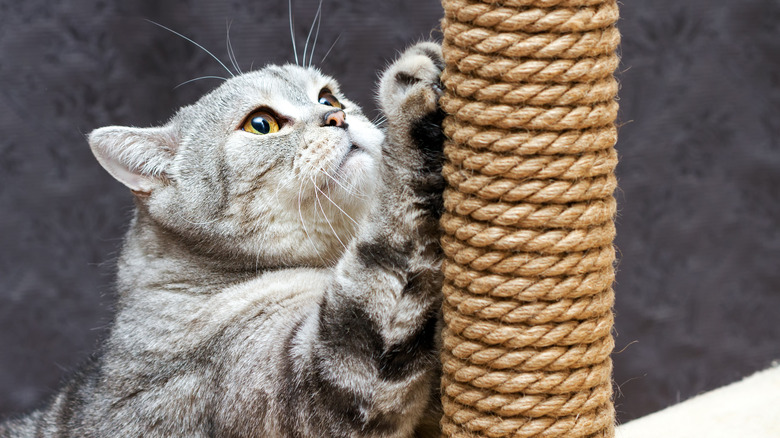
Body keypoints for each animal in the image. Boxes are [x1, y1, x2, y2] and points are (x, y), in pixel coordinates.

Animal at [0, 40, 448, 434]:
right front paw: (413, 95)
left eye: (328, 98)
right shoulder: (326, 386)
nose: (339, 117)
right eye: (261, 124)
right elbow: (396, 221)